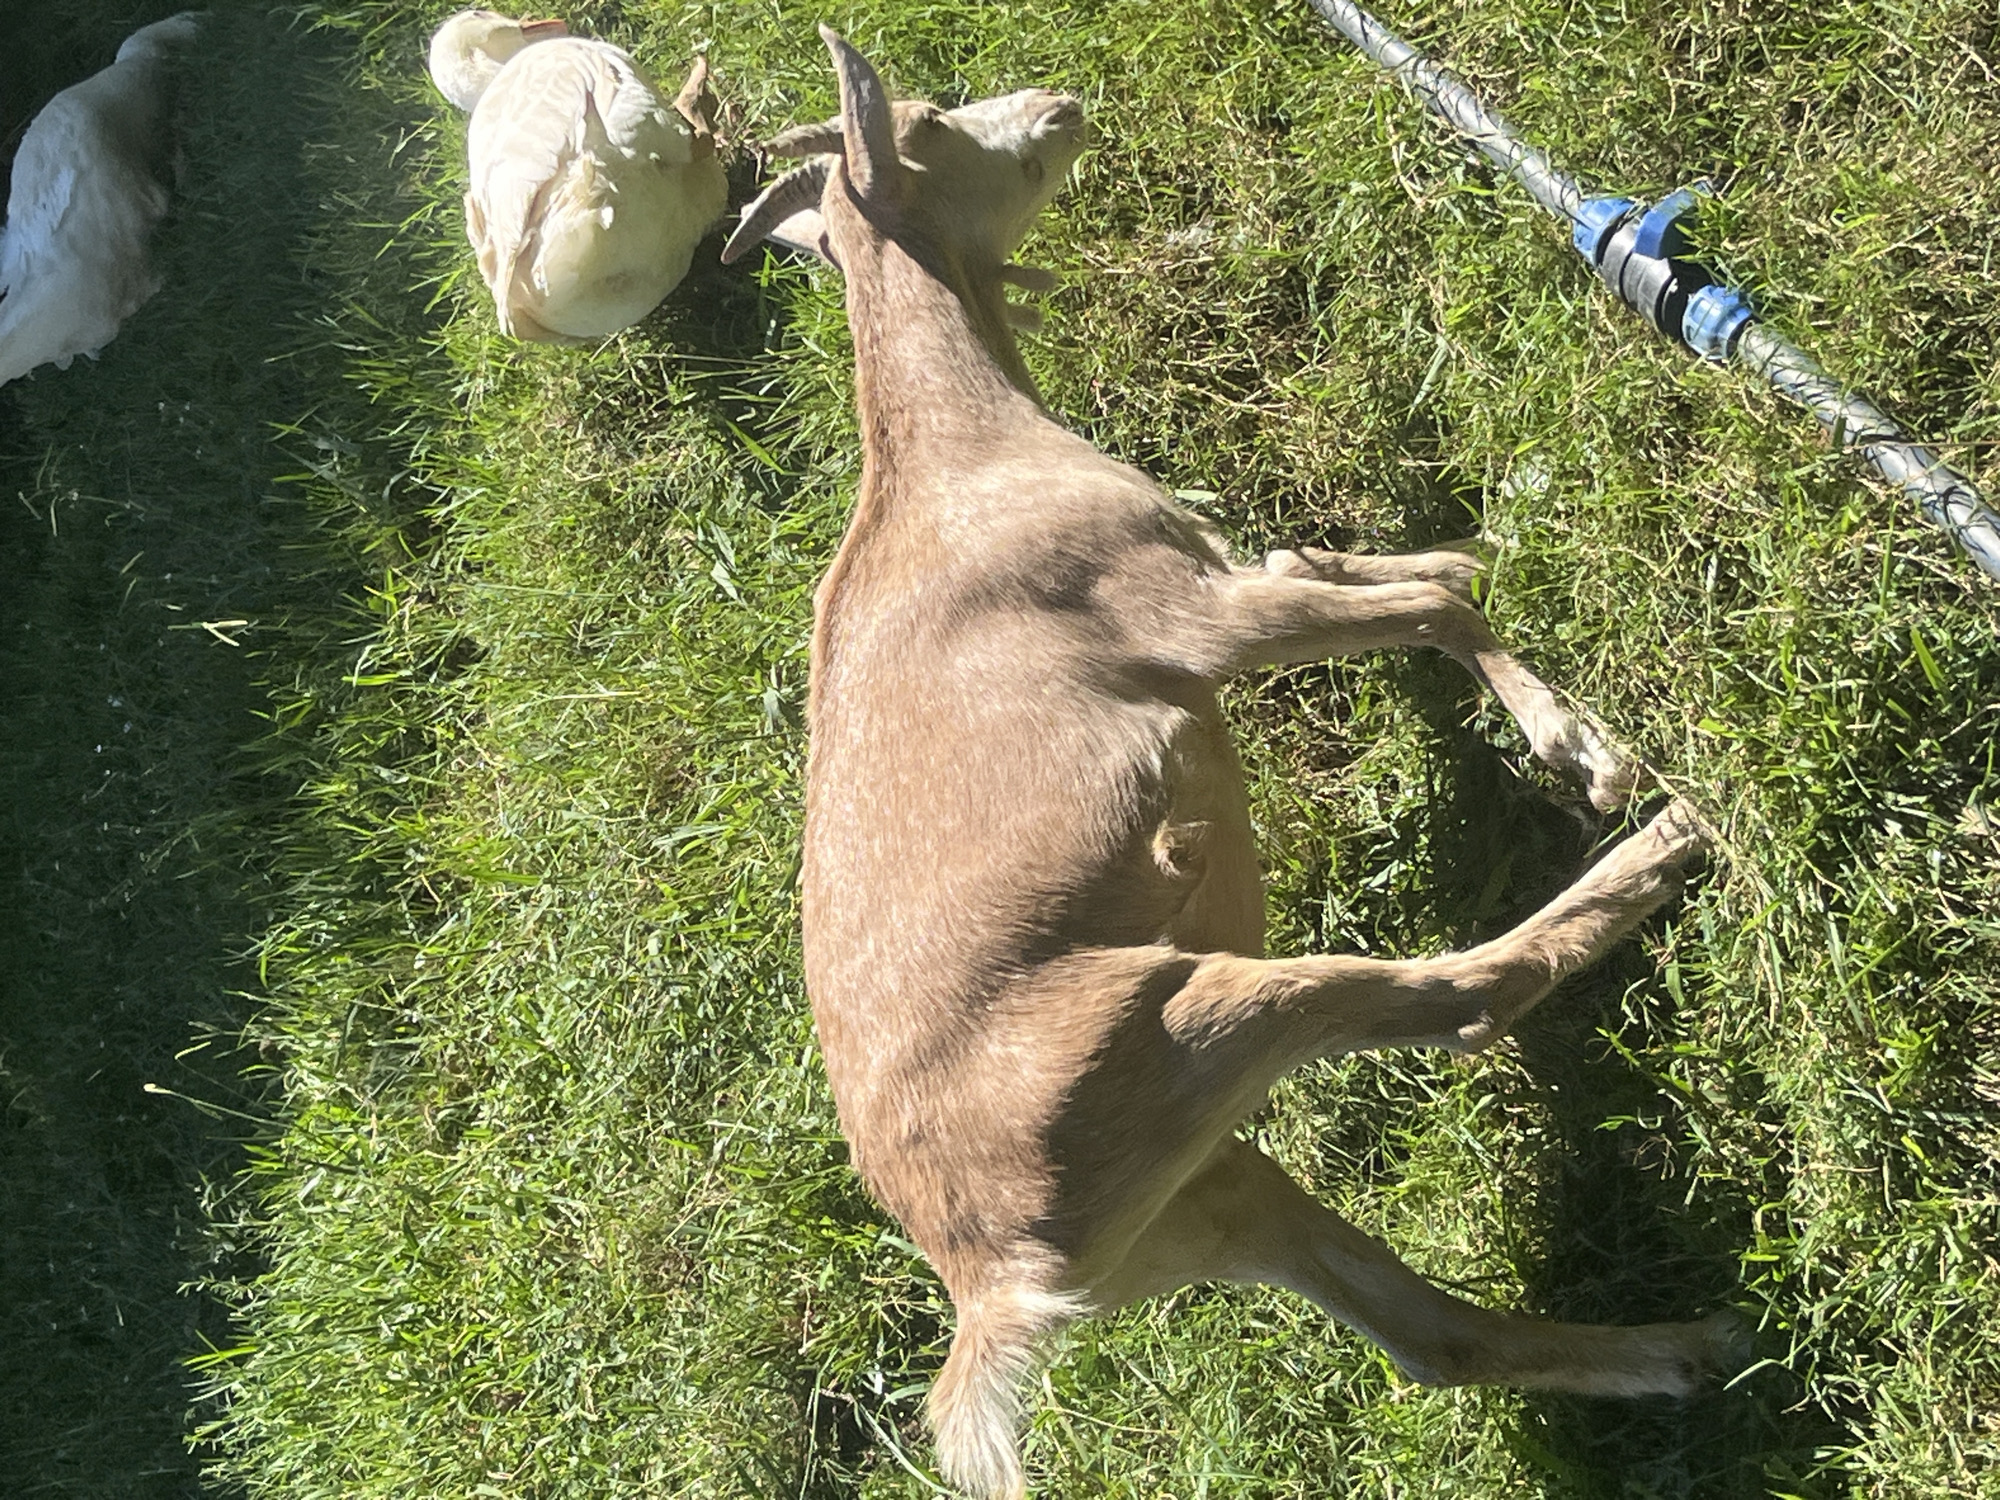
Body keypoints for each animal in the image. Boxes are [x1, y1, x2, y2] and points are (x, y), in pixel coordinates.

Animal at [723, 29, 1741, 1499]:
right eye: (929, 118)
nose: (1056, 100)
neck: (958, 457)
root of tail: (990, 1288)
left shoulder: (1220, 579)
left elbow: (1377, 568)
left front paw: (1488, 563)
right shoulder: (1184, 619)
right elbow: (1420, 604)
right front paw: (1577, 745)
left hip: (1199, 1196)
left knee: (1429, 1339)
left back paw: (1679, 1351)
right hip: (1181, 1021)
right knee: (1462, 997)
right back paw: (1662, 845)